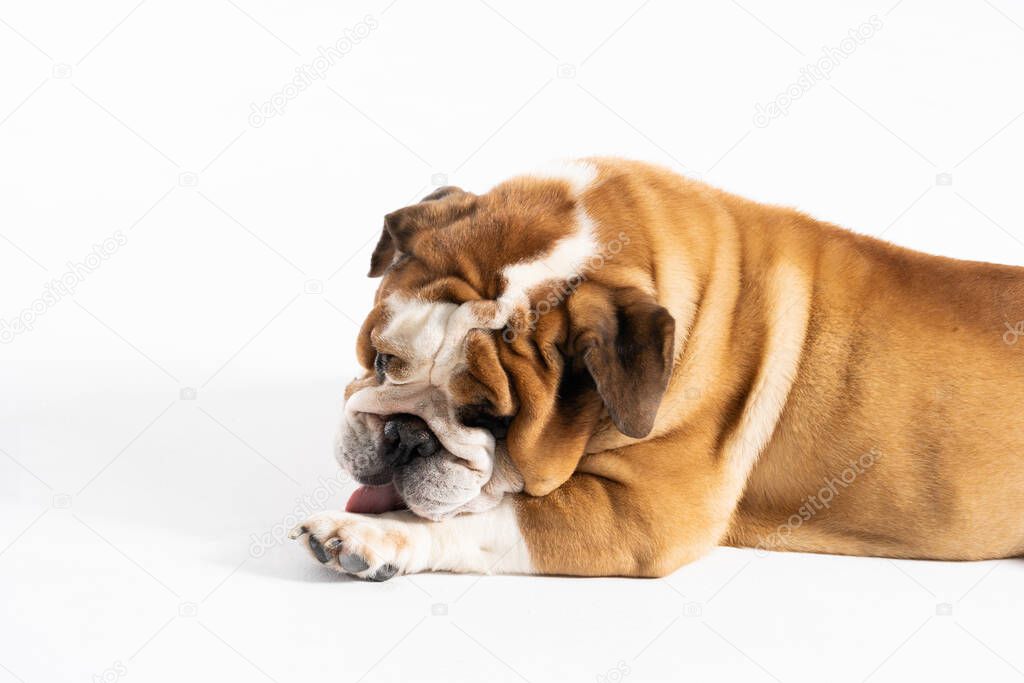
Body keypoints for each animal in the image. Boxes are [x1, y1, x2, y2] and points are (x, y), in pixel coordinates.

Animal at [286, 157, 1024, 581]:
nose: (405, 435)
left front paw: (373, 534)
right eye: (383, 360)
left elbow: (486, 520)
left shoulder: (642, 515)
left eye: (490, 418)